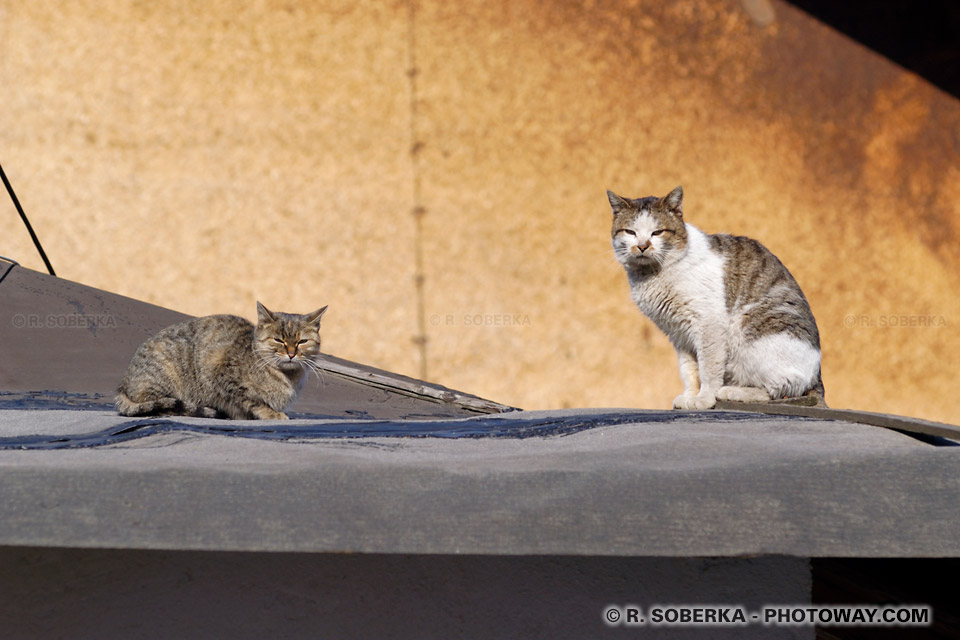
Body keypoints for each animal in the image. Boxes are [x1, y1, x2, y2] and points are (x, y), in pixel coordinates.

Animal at [612, 185, 820, 410]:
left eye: (657, 232)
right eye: (630, 232)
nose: (642, 246)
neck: (650, 274)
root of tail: (817, 377)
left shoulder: (708, 325)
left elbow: (708, 369)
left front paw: (704, 399)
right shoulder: (679, 334)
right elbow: (689, 371)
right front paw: (690, 396)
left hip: (750, 337)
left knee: (779, 390)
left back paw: (731, 391)